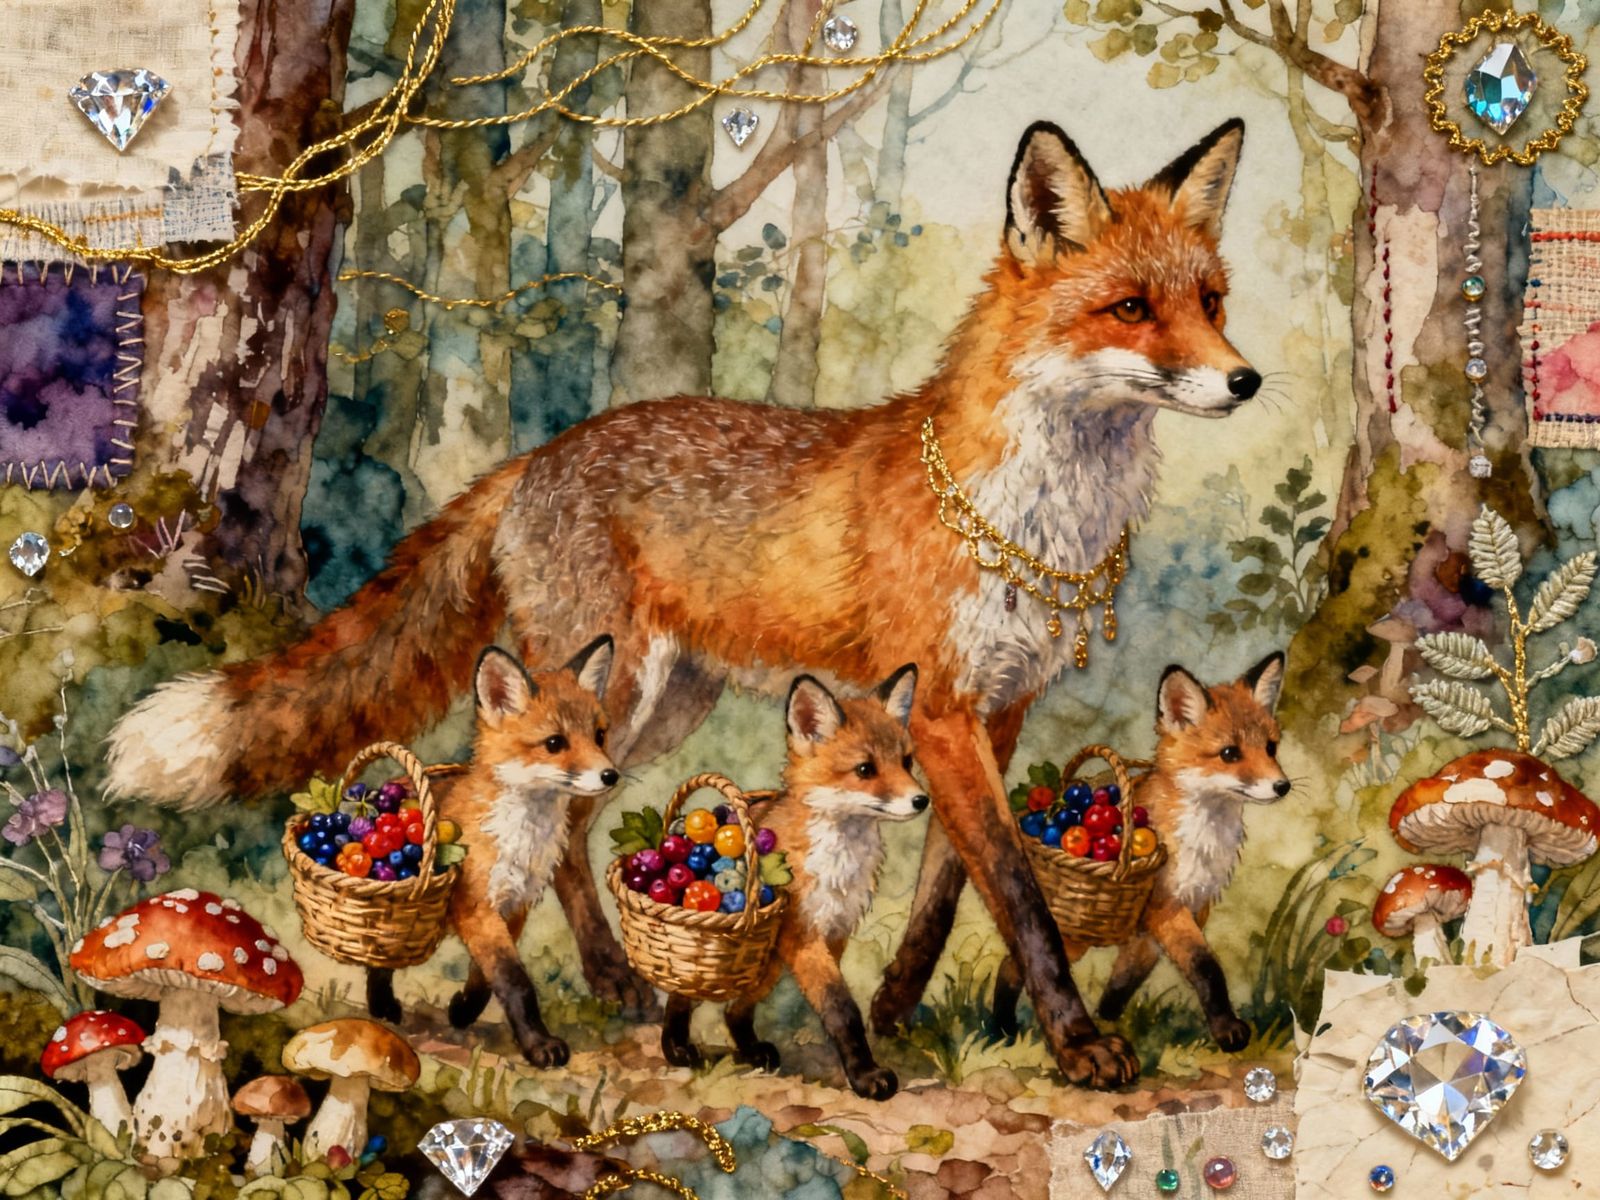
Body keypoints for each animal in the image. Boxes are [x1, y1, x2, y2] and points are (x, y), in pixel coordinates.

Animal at [365, 637, 618, 1067]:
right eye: (555, 743)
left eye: (599, 735)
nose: (610, 775)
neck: (521, 839)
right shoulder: (475, 905)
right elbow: (516, 981)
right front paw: (539, 1045)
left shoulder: (514, 906)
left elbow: (486, 977)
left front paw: (463, 1010)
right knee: (380, 962)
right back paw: (381, 1008)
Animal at [661, 667, 928, 1100]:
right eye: (865, 770)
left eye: (906, 762)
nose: (922, 800)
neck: (838, 861)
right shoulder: (804, 936)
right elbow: (842, 1009)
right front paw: (866, 1076)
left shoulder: (835, 932)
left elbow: (835, 1005)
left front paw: (861, 1070)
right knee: (681, 994)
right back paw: (676, 1046)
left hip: (767, 965)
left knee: (735, 1010)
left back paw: (751, 1050)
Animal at [991, 653, 1289, 1050]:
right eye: (1230, 753)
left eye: (1271, 748)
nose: (1283, 786)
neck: (1201, 840)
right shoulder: (1166, 909)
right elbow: (1207, 968)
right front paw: (1228, 1030)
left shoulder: (1174, 918)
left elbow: (1124, 981)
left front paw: (1110, 1022)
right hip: (1071, 941)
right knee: (1015, 967)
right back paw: (999, 1027)